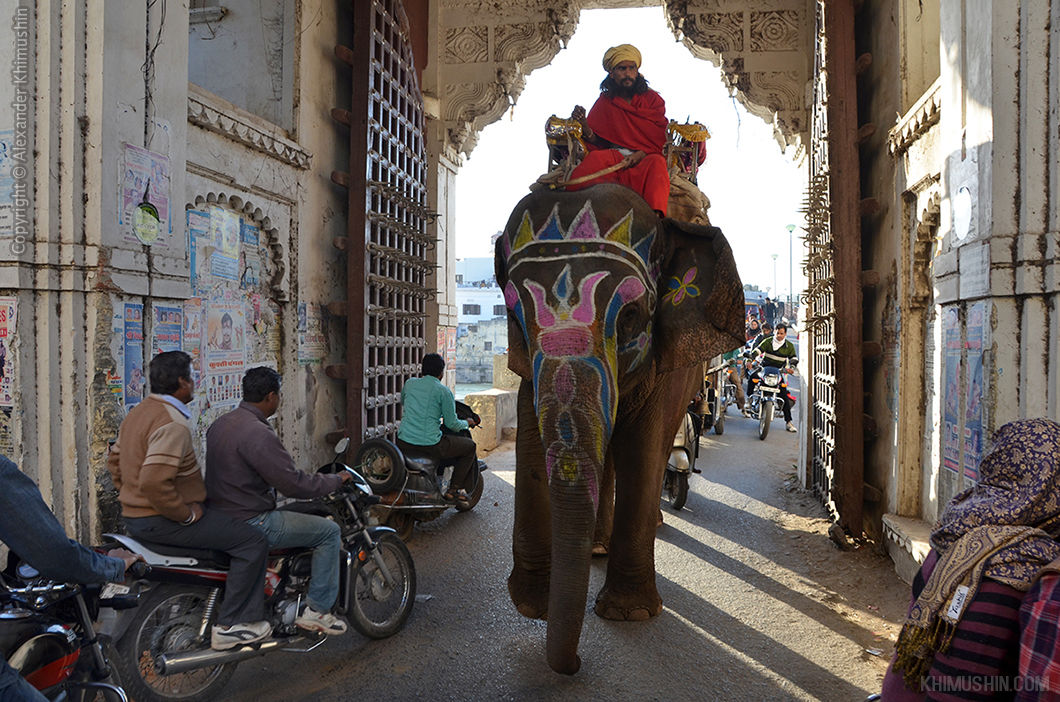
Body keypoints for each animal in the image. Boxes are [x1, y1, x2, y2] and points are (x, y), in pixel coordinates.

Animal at [496, 182, 746, 678]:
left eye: (631, 317)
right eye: (514, 317)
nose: (575, 665)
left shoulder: (665, 361)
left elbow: (644, 447)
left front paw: (628, 613)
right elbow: (531, 441)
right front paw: (533, 604)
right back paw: (596, 548)